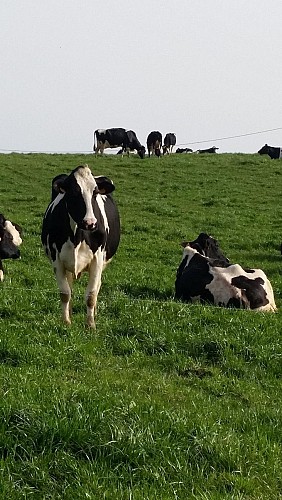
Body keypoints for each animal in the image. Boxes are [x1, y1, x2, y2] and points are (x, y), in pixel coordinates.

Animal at [41, 164, 120, 328]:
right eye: (73, 192)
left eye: (95, 192)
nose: (90, 223)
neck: (77, 236)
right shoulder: (57, 259)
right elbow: (65, 293)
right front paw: (66, 321)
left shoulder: (97, 259)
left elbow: (91, 295)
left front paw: (90, 324)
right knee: (70, 287)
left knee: (97, 286)